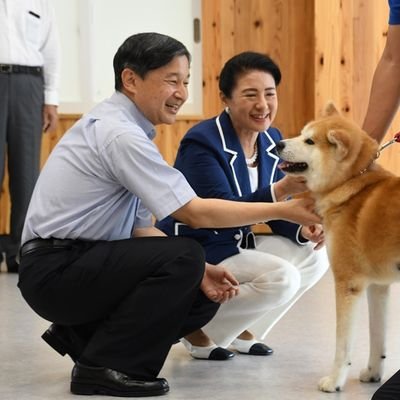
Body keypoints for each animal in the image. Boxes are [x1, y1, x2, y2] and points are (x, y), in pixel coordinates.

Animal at [276, 101, 400, 392]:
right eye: (302, 133)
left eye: (309, 141)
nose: (277, 144)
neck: (352, 184)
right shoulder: (378, 286)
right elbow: (378, 337)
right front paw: (373, 373)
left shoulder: (347, 282)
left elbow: (343, 345)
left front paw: (334, 381)